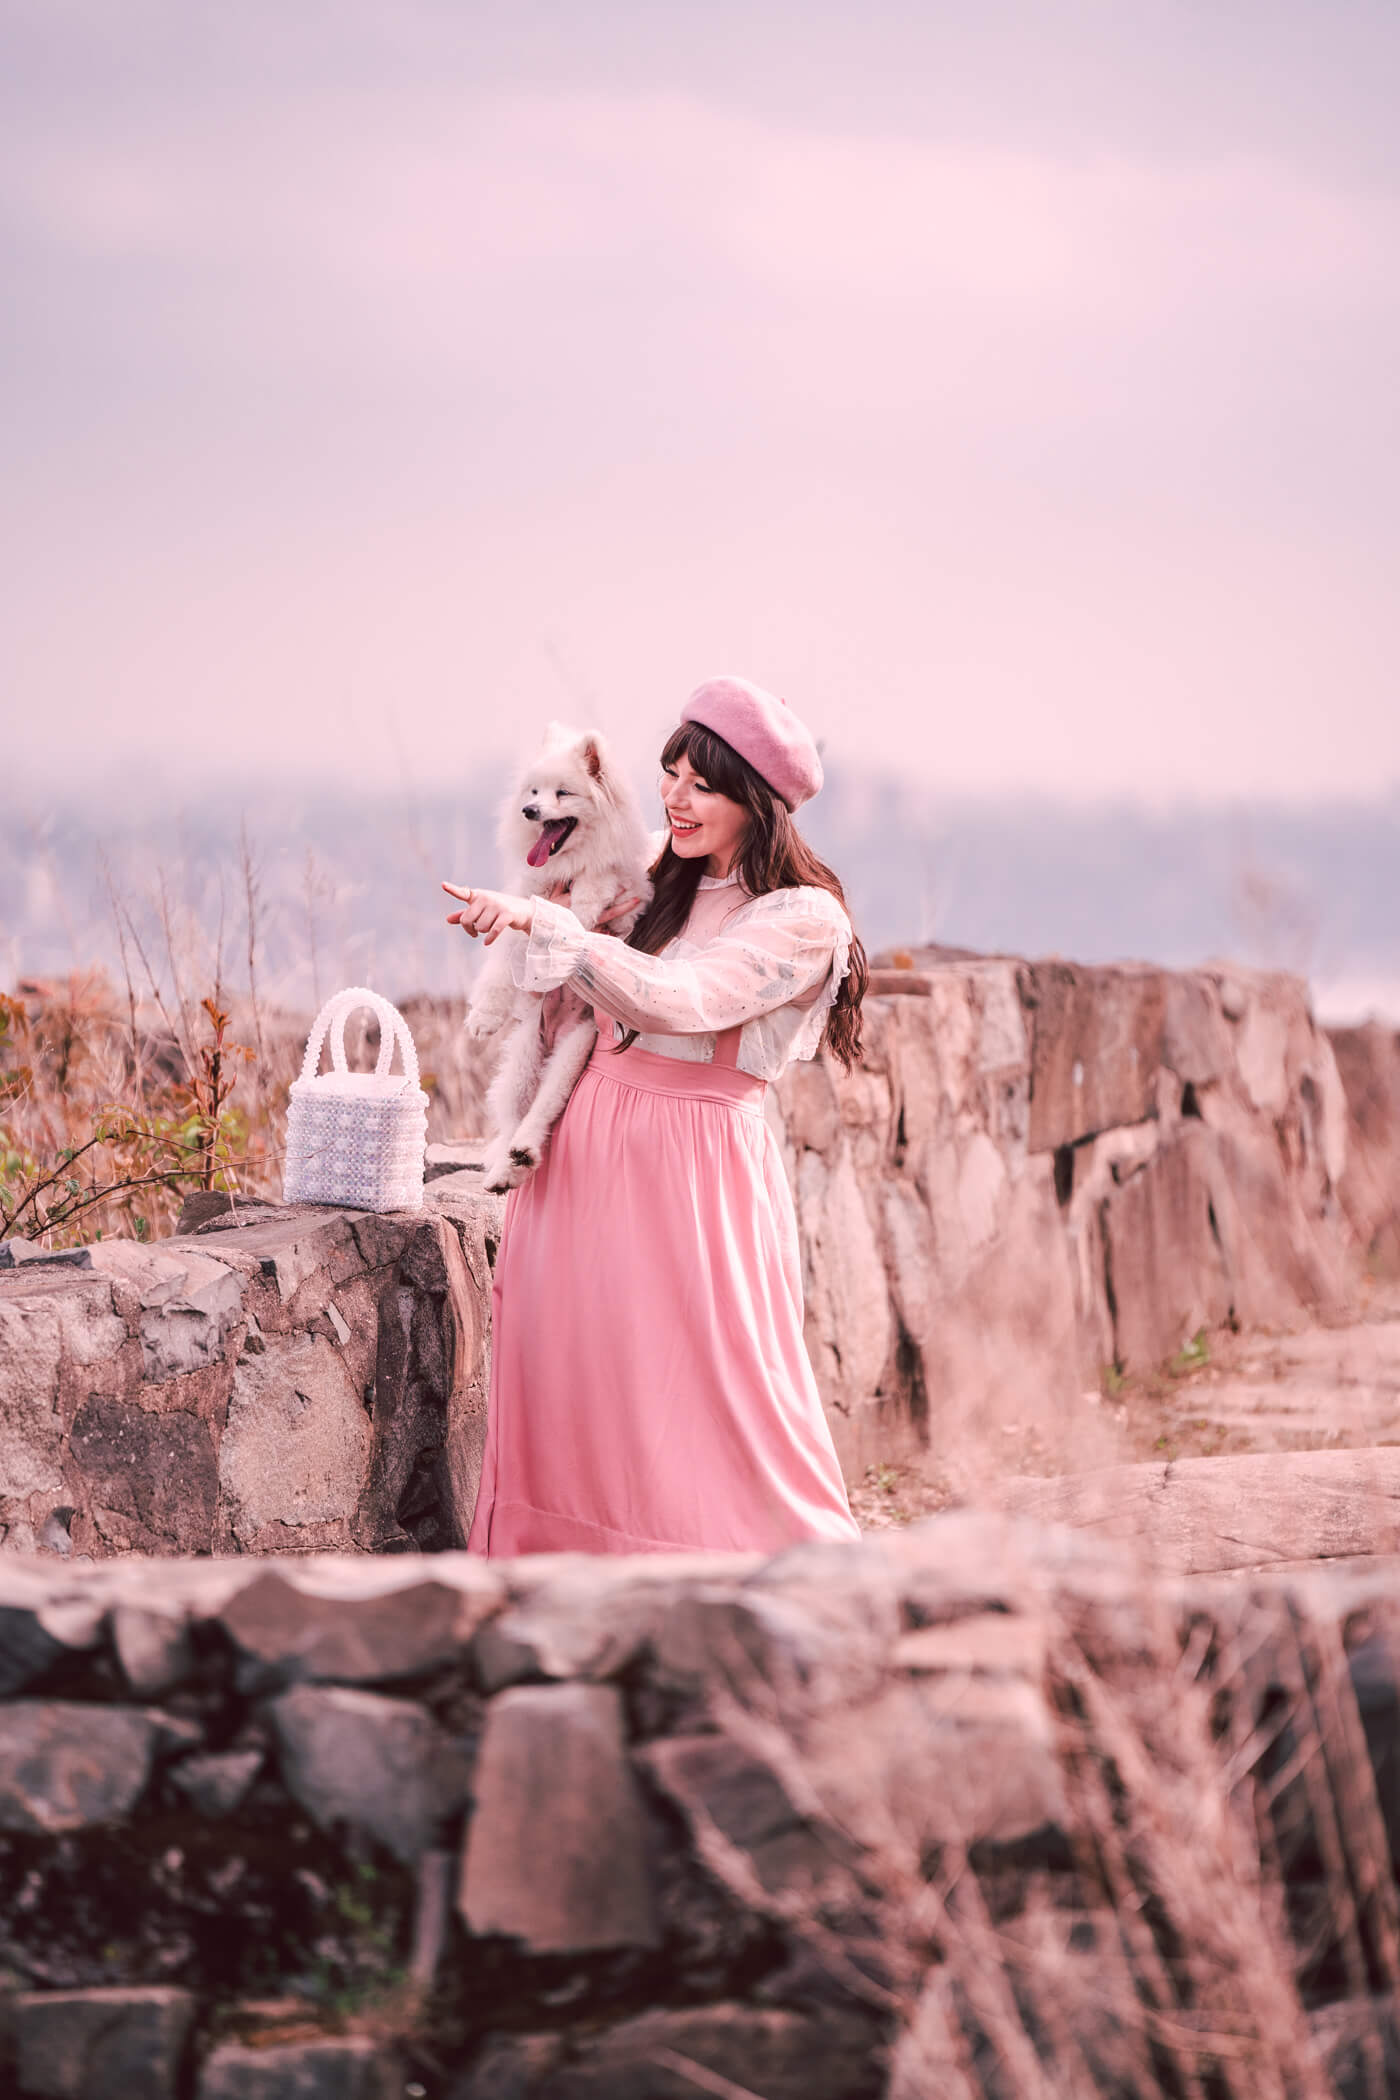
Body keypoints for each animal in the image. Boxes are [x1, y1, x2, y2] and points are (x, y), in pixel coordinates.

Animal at [465, 722, 650, 1192]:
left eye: (563, 793)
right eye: (533, 791)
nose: (530, 810)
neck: (567, 867)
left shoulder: (624, 894)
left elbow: (598, 888)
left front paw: (584, 905)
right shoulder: (520, 913)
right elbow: (499, 971)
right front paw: (483, 1018)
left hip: (574, 1050)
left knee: (543, 1111)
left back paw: (523, 1155)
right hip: (525, 1059)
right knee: (514, 1118)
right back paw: (505, 1169)